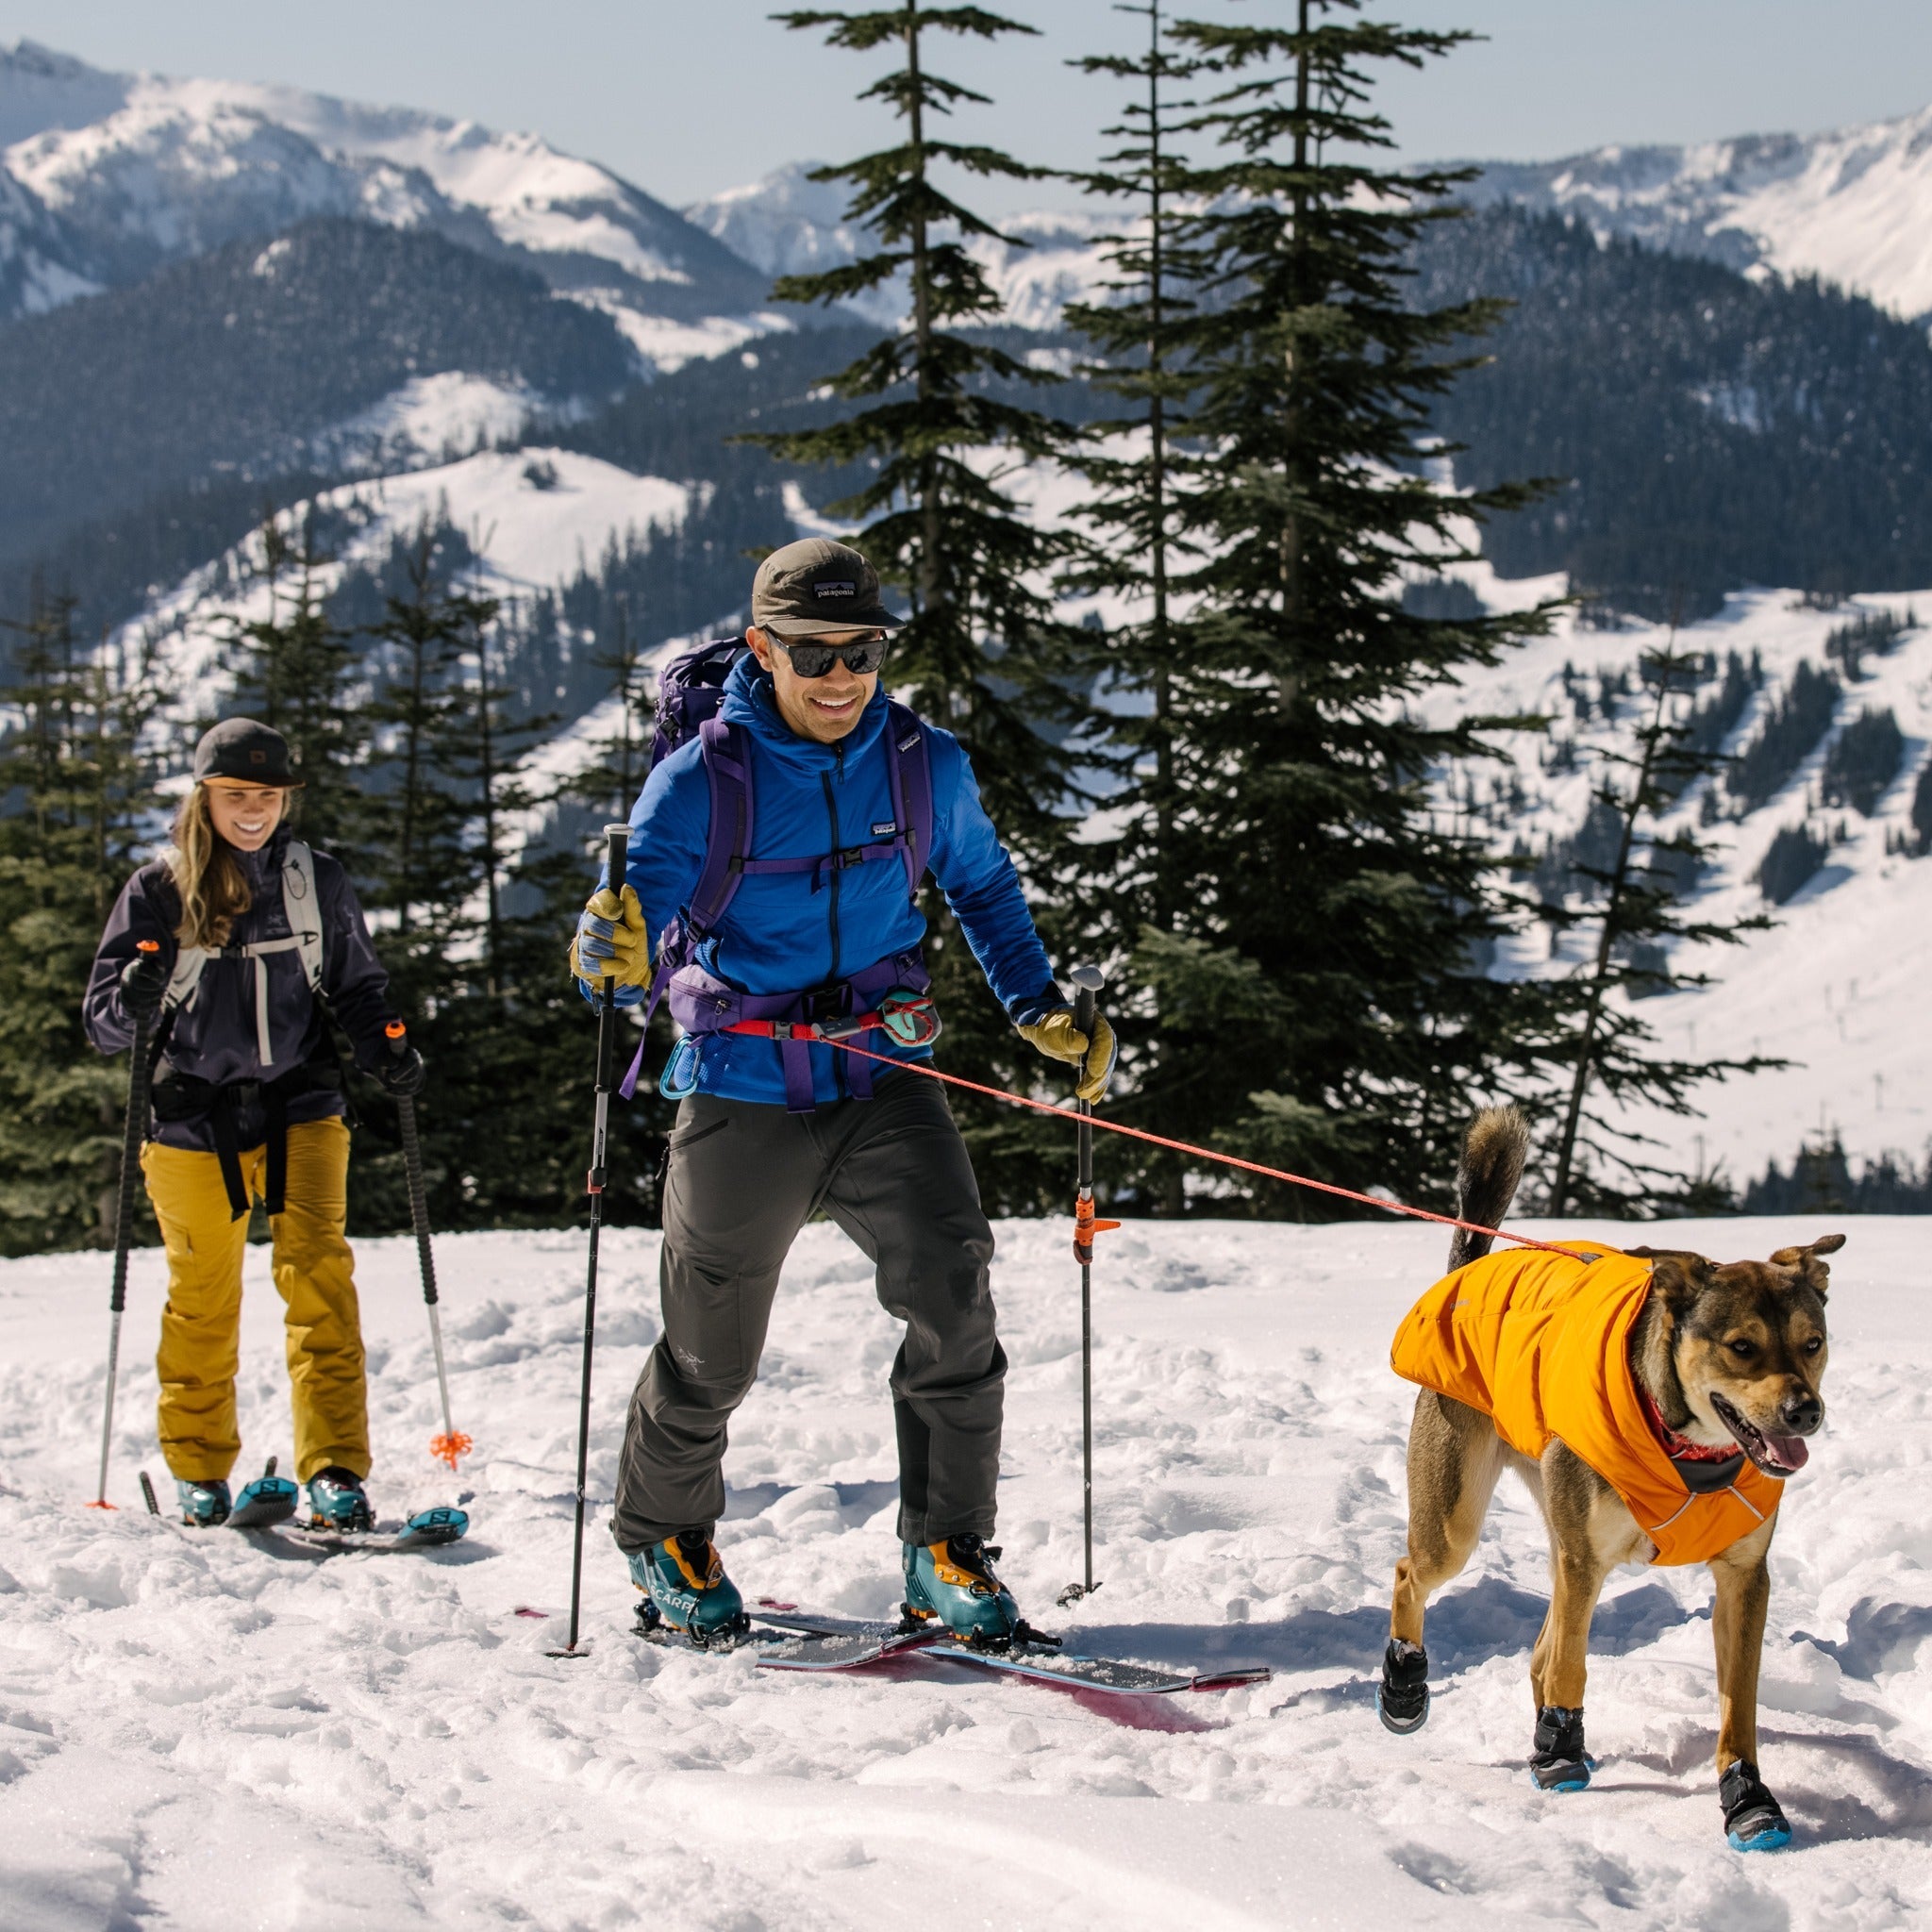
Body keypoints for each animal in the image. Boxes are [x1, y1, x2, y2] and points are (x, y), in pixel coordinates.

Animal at [1383, 1120, 1831, 1855]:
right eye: (1741, 1346)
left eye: (1813, 1342)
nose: (1805, 1412)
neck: (1688, 1450)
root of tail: (1469, 1269)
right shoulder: (1584, 1556)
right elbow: (1571, 1664)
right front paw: (1559, 1755)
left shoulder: (1744, 1576)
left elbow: (1738, 1701)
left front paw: (1747, 1796)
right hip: (1457, 1522)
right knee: (1414, 1576)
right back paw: (1406, 1687)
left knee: (1540, 1649)